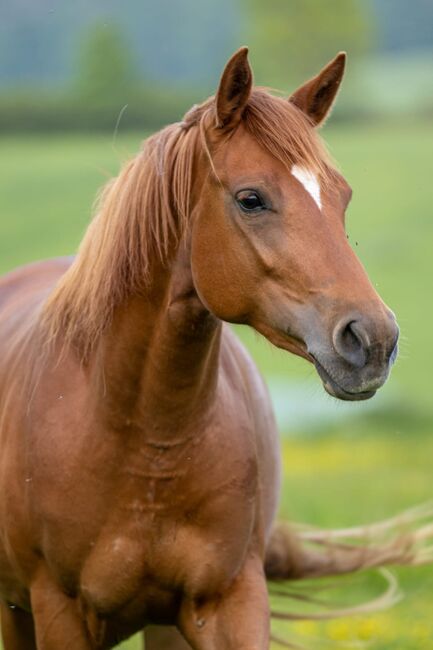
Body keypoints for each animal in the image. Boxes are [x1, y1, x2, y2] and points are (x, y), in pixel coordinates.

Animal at [0, 46, 408, 648]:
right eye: (251, 199)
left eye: (342, 197)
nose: (373, 339)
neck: (143, 440)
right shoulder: (58, 612)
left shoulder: (230, 602)